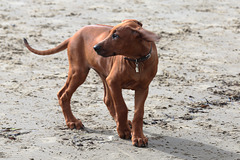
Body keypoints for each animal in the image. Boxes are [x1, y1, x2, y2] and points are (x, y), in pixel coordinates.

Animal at [23, 19, 159, 147]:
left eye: (116, 36)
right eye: (110, 33)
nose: (95, 47)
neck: (137, 61)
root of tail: (73, 36)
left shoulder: (142, 88)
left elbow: (138, 113)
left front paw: (138, 137)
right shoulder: (114, 82)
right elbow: (121, 107)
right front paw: (123, 130)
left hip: (101, 74)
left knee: (106, 99)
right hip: (79, 72)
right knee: (64, 95)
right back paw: (72, 122)